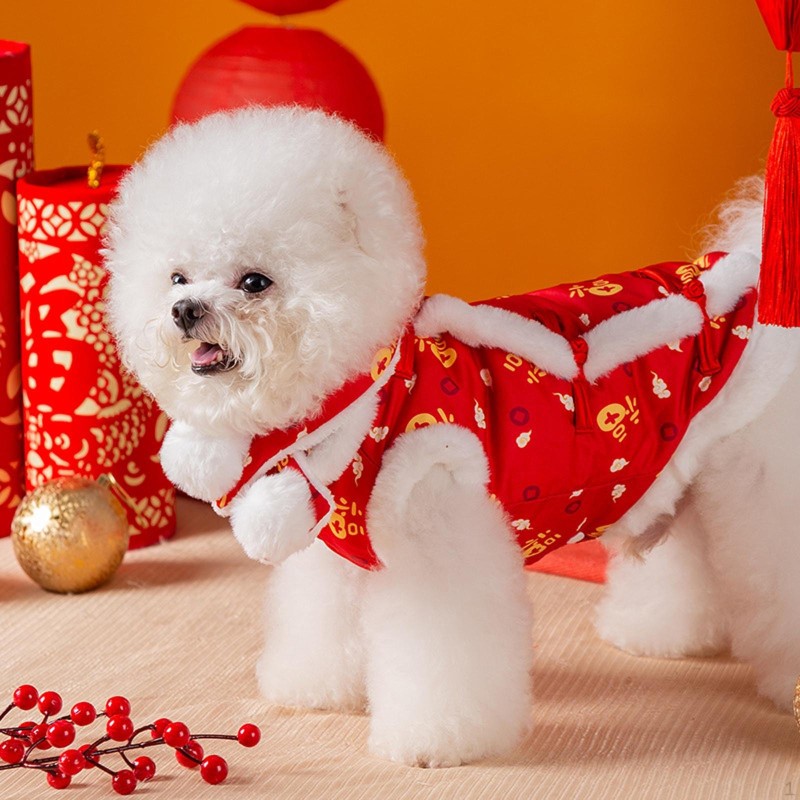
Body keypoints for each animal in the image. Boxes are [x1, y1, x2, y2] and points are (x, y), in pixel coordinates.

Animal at [103, 109, 800, 764]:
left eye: (254, 281)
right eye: (177, 277)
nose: (184, 310)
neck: (366, 403)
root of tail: (755, 264)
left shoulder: (436, 524)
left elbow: (441, 651)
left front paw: (437, 740)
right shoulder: (334, 542)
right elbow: (321, 618)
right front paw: (318, 685)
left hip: (758, 474)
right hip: (679, 465)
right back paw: (662, 633)